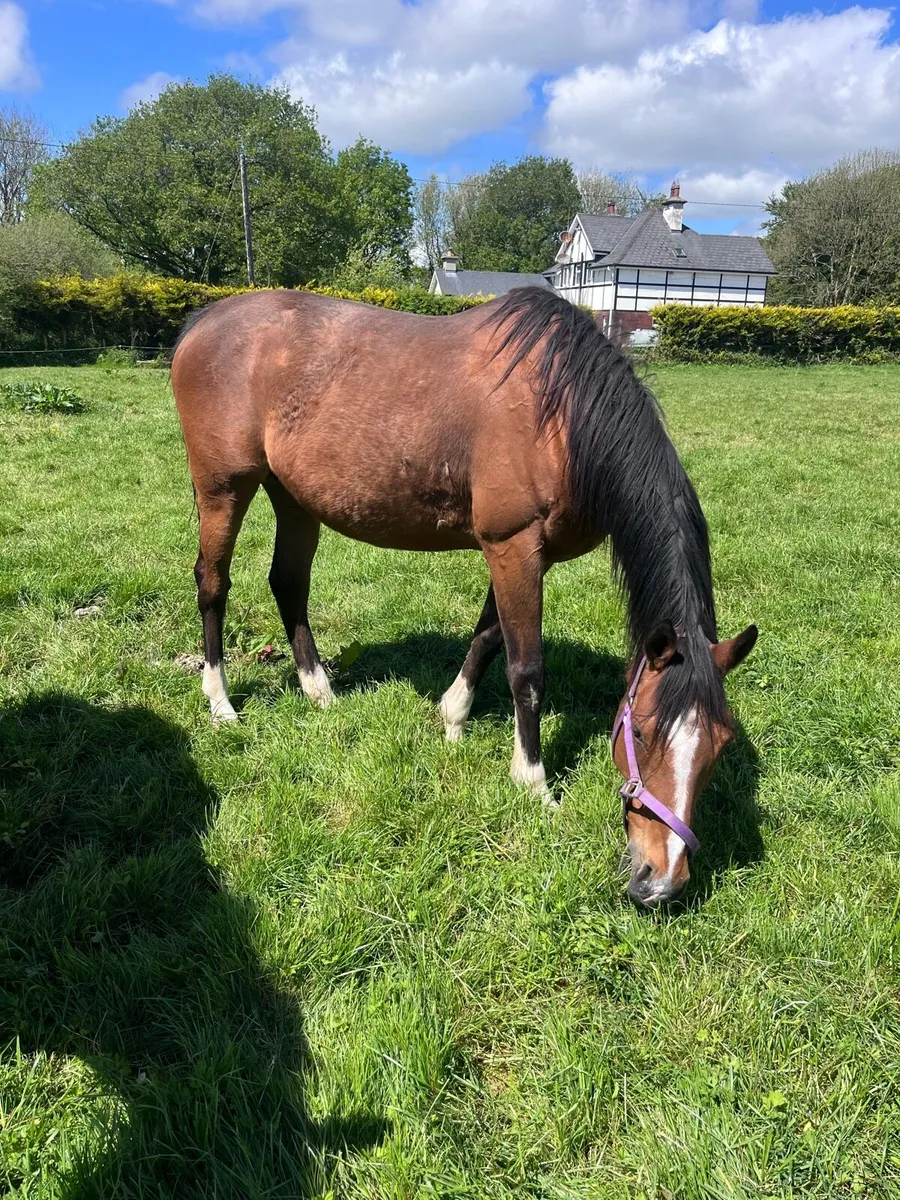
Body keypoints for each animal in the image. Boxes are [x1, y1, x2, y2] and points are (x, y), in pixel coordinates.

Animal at [171, 286, 757, 907]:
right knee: (213, 583)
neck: (563, 415)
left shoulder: (524, 553)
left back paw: (319, 691)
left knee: (288, 583)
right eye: (640, 732)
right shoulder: (513, 545)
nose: (660, 881)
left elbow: (488, 638)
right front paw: (533, 783)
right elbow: (527, 668)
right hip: (224, 488)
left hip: (293, 497)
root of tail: (202, 324)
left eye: (720, 745)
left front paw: (452, 718)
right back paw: (221, 702)